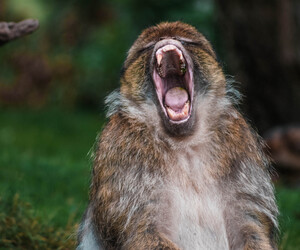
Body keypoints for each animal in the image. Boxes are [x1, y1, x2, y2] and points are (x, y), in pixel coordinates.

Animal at [77, 21, 278, 250]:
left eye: (186, 41)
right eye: (148, 46)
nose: (166, 39)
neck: (184, 143)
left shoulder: (241, 144)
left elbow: (250, 225)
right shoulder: (120, 149)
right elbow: (142, 230)